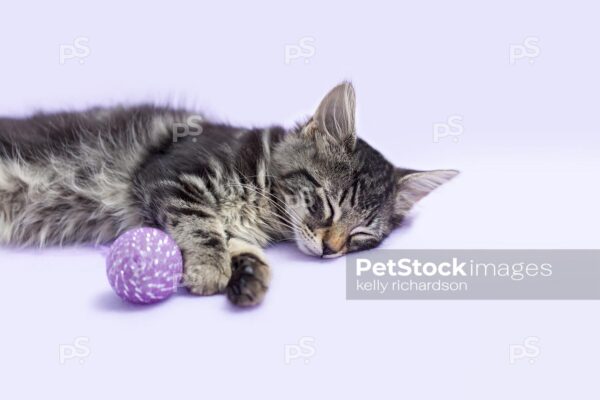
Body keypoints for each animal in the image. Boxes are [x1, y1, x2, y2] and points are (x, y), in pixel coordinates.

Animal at [0, 82, 460, 306]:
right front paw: (209, 270)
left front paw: (249, 273)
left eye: (361, 235)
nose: (330, 250)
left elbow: (227, 237)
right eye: (325, 205)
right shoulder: (169, 175)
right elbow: (200, 224)